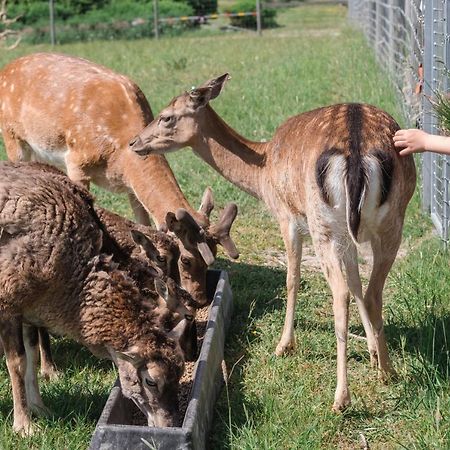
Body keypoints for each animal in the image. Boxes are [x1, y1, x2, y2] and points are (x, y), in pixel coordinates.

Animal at [128, 74, 416, 412]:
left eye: (166, 116)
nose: (135, 143)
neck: (263, 173)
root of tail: (358, 151)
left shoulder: (286, 216)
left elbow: (293, 279)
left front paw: (283, 345)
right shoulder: (347, 236)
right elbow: (357, 282)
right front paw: (371, 352)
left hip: (322, 224)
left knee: (340, 293)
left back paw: (341, 398)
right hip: (391, 221)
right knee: (371, 292)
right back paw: (387, 371)